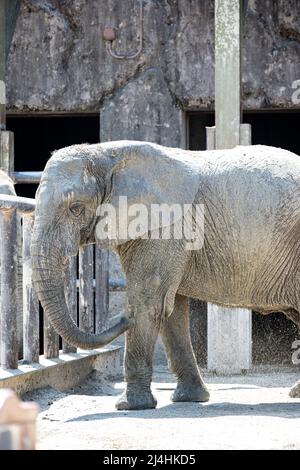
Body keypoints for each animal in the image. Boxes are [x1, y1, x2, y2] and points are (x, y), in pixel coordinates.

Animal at [31, 141, 300, 410]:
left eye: (75, 208)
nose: (120, 317)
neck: (106, 155)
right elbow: (170, 310)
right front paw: (188, 399)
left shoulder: (163, 228)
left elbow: (149, 303)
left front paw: (129, 406)